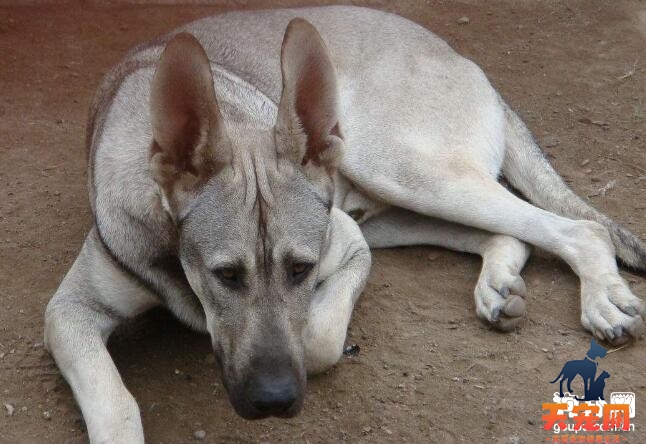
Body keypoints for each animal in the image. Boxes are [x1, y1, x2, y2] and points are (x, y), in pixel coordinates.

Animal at [41, 5, 646, 442]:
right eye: (226, 276)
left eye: (301, 269)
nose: (274, 401)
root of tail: (462, 59)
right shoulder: (67, 313)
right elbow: (114, 403)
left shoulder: (346, 246)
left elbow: (317, 339)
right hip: (395, 202)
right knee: (516, 234)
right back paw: (500, 285)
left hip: (404, 171)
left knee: (577, 229)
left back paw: (602, 300)